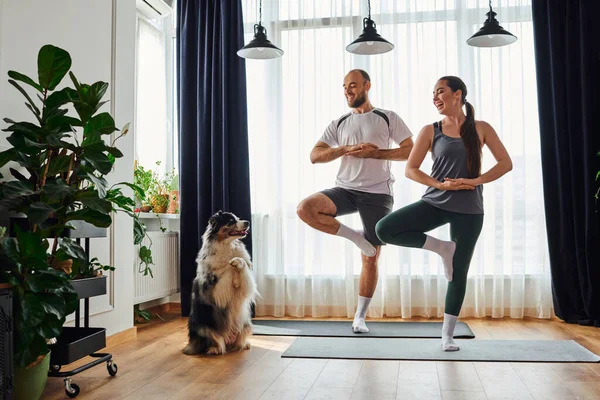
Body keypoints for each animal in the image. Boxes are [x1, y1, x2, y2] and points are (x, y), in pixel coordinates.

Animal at [183, 211, 258, 354]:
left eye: (238, 218)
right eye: (231, 221)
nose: (247, 222)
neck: (226, 245)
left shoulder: (244, 284)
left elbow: (242, 262)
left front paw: (236, 270)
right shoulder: (215, 291)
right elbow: (226, 267)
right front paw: (231, 266)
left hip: (245, 323)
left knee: (238, 341)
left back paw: (244, 344)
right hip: (204, 328)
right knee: (215, 341)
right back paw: (214, 349)